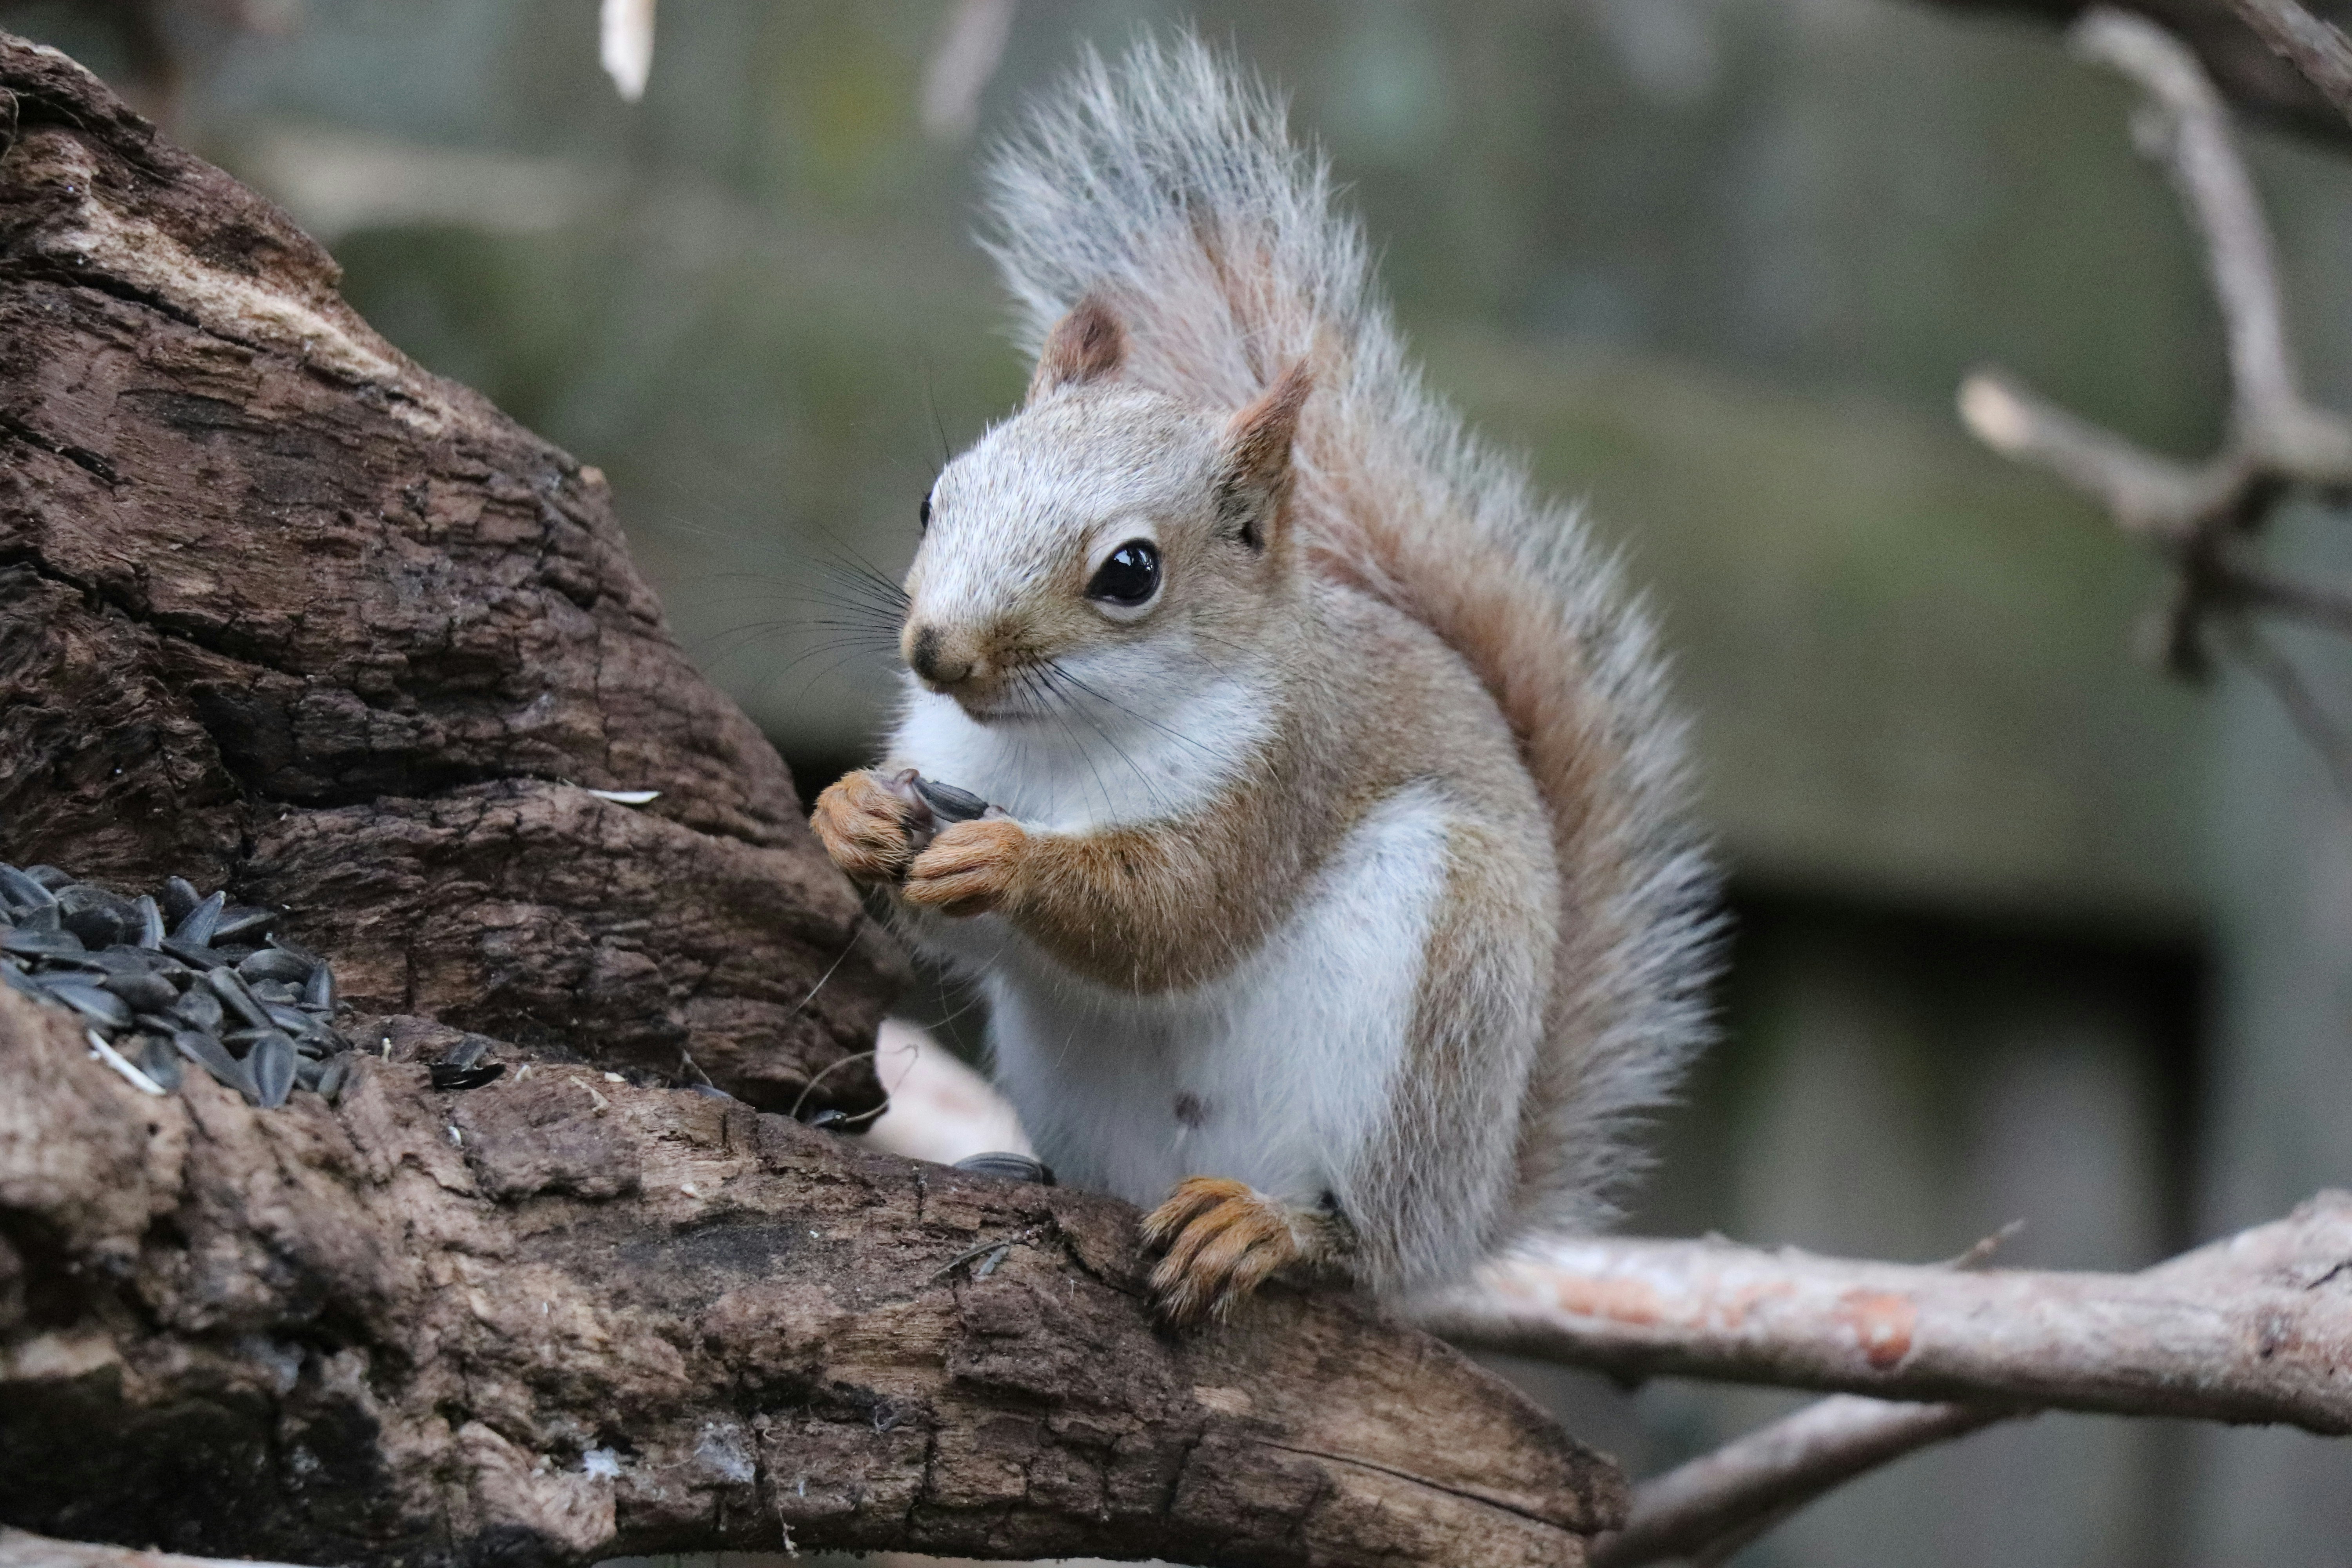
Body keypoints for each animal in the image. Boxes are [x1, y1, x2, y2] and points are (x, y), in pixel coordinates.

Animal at [810, 35, 1716, 1325]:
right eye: (935, 497)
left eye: (1130, 571)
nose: (937, 653)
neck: (1051, 745)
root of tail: (1469, 1218)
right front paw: (848, 812)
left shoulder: (1283, 776)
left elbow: (1176, 911)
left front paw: (1010, 860)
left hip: (1439, 1005)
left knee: (1357, 1244)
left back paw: (1268, 1228)